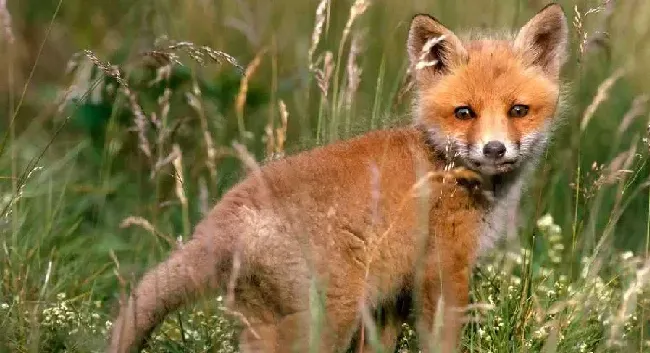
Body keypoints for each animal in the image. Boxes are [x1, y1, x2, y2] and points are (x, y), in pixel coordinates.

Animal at [106, 2, 560, 352]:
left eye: (518, 110)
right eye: (464, 112)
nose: (494, 150)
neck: (442, 164)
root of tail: (216, 226)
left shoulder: (389, 298)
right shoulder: (443, 272)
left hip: (267, 323)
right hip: (328, 319)